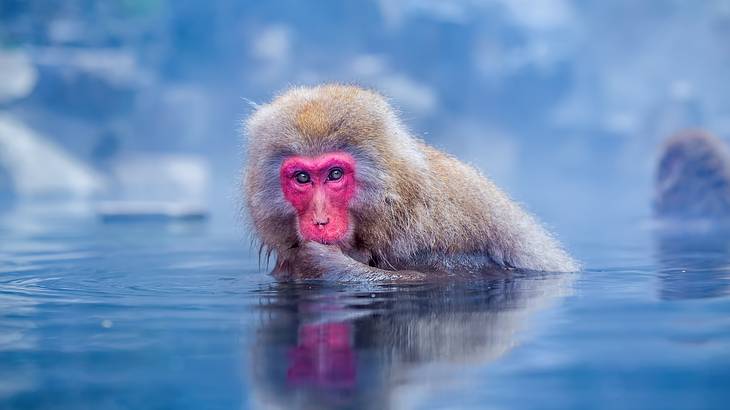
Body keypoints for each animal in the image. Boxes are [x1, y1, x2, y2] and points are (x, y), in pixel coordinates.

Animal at [242, 85, 576, 280]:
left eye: (335, 174)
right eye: (302, 178)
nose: (320, 220)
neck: (394, 208)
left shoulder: (435, 232)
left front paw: (327, 265)